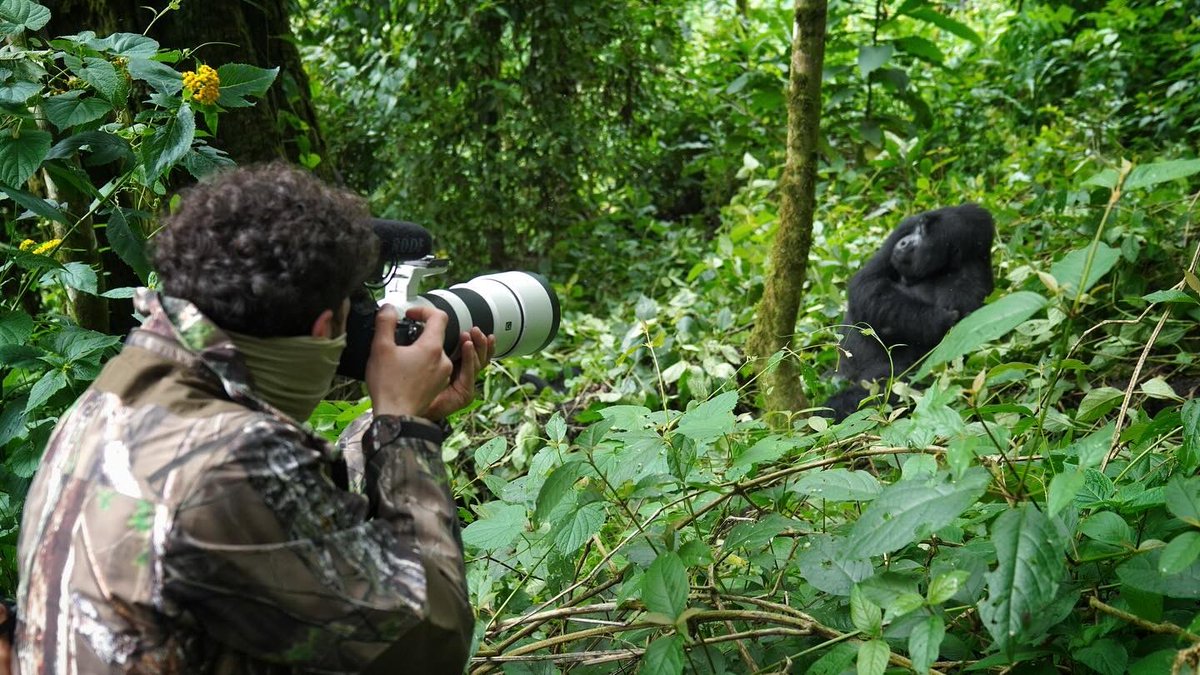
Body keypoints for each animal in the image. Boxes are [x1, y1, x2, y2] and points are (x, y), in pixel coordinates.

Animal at [825, 201, 993, 417]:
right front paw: (936, 320)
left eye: (924, 236)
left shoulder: (973, 286)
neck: (943, 268)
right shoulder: (904, 228)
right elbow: (867, 283)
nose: (904, 242)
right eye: (918, 228)